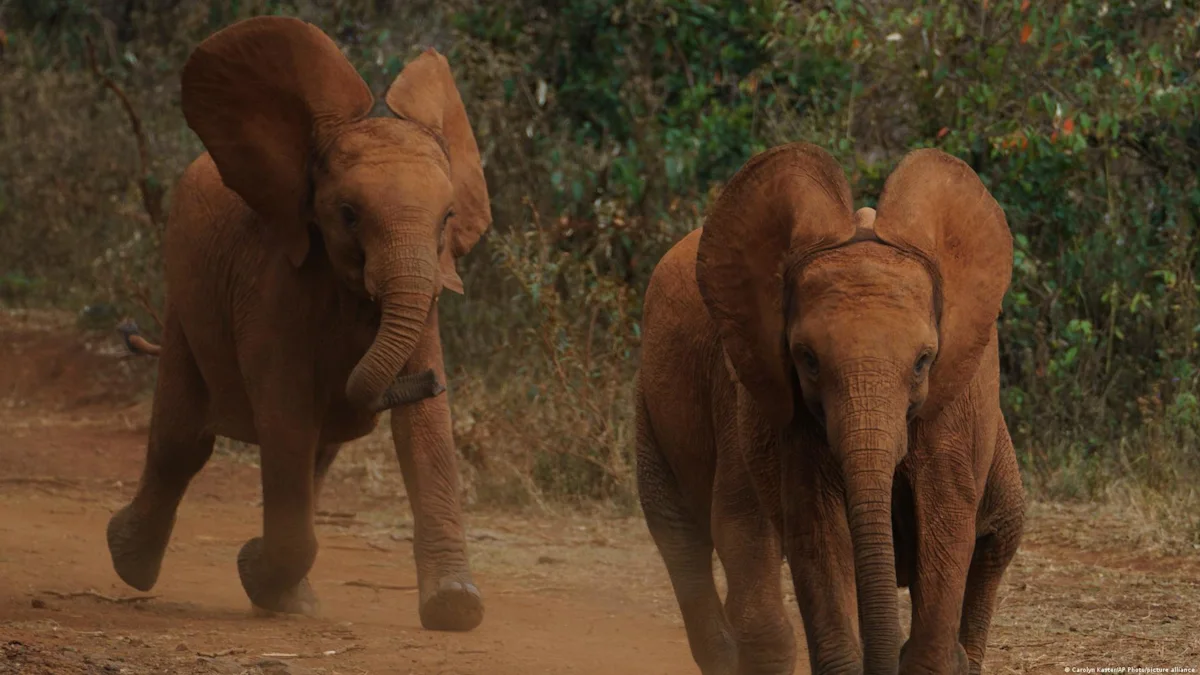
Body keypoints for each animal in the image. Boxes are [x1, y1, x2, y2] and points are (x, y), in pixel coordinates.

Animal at [105, 16, 492, 632]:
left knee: (316, 454)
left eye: (448, 218)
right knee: (184, 440)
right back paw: (132, 563)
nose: (428, 380)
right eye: (348, 215)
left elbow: (423, 429)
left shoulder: (430, 295)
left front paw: (455, 608)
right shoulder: (271, 283)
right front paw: (252, 566)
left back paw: (289, 601)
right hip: (185, 300)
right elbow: (284, 413)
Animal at [636, 143, 1026, 675]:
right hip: (648, 404)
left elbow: (946, 520)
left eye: (923, 361)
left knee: (999, 533)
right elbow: (812, 525)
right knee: (679, 533)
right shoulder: (767, 397)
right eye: (808, 359)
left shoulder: (961, 395)